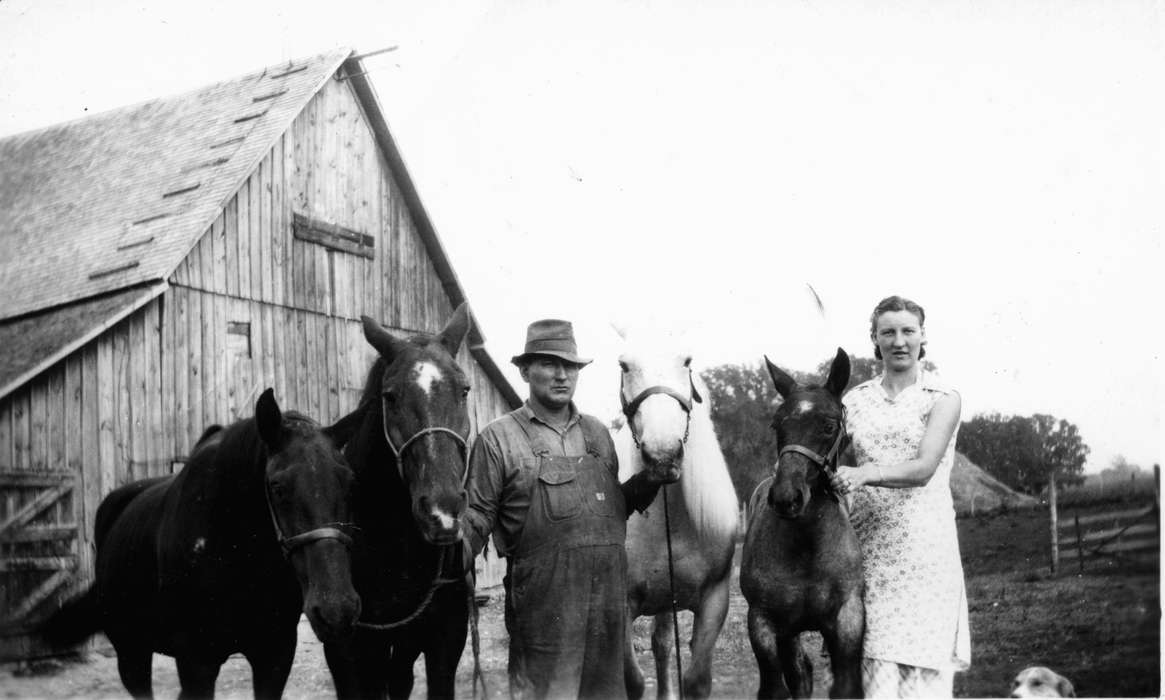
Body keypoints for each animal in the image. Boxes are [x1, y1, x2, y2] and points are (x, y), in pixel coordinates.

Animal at [39, 391, 363, 694]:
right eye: (277, 486)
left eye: (350, 483)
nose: (336, 610)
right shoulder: (197, 663)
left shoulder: (275, 655)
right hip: (132, 653)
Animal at [615, 330, 740, 698]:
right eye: (624, 365)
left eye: (686, 361)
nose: (663, 455)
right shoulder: (621, 606)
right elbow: (632, 680)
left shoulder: (714, 600)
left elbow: (696, 679)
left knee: (662, 645)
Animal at [740, 349, 862, 698]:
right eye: (776, 424)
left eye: (829, 426)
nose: (786, 498)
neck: (807, 548)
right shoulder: (764, 622)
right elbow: (775, 688)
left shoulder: (848, 618)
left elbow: (845, 686)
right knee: (799, 673)